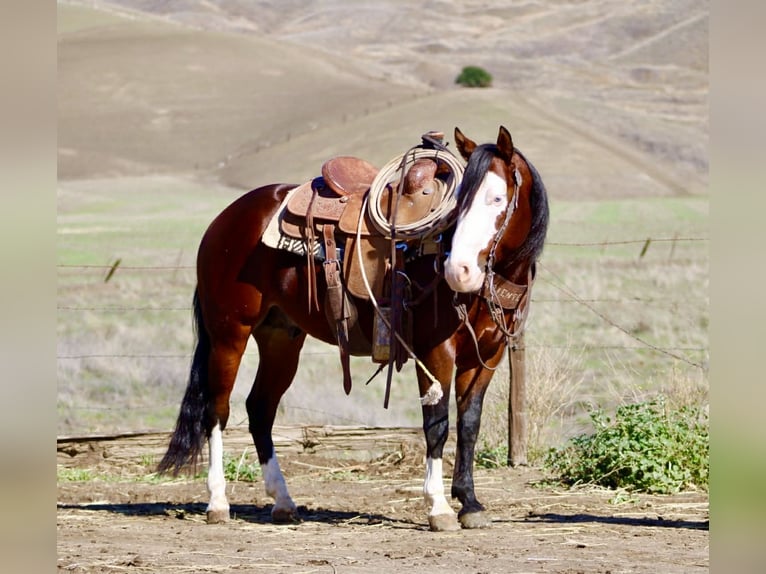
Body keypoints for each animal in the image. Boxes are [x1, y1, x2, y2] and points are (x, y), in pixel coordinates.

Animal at [158, 126, 549, 531]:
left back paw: (283, 501)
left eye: (497, 198)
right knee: (216, 411)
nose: (460, 270)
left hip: (280, 339)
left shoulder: (487, 353)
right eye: (461, 202)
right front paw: (438, 507)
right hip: (229, 334)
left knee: (260, 408)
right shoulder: (435, 351)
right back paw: (218, 502)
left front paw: (470, 503)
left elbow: (469, 423)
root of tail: (225, 220)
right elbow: (437, 424)